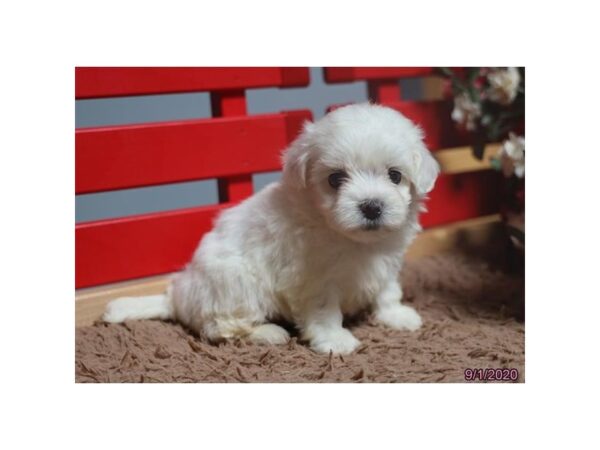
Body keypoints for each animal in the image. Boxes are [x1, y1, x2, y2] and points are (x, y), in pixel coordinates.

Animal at [103, 103, 438, 354]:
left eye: (395, 176)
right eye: (335, 179)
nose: (371, 206)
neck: (353, 240)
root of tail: (176, 299)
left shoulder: (387, 261)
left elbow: (387, 290)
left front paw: (395, 315)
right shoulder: (313, 278)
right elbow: (324, 310)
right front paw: (335, 340)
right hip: (235, 283)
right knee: (219, 327)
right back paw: (268, 333)